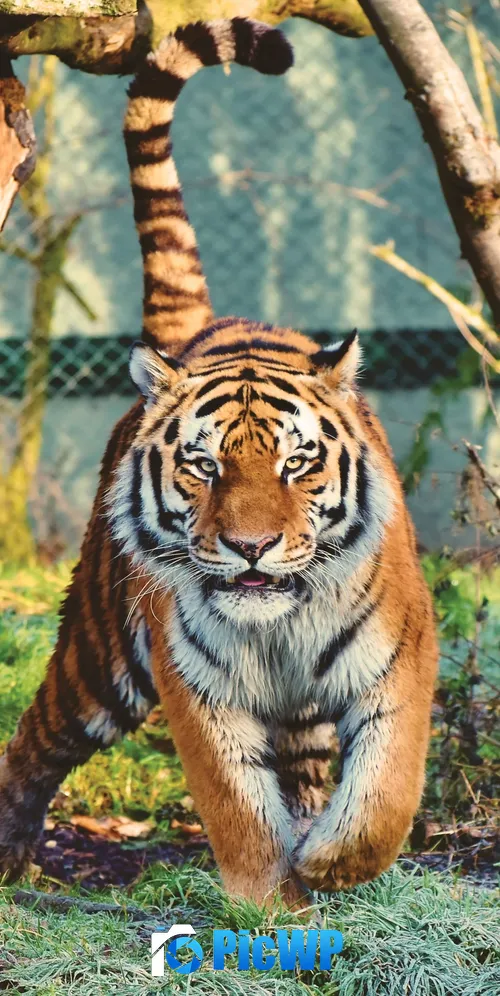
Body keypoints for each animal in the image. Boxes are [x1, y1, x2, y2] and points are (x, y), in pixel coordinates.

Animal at [0, 18, 438, 908]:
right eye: (202, 468)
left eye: (298, 463)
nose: (250, 548)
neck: (279, 630)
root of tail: (203, 326)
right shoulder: (195, 688)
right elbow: (237, 807)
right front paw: (271, 898)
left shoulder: (400, 661)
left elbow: (384, 793)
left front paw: (331, 864)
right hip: (100, 656)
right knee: (34, 738)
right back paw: (8, 853)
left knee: (307, 771)